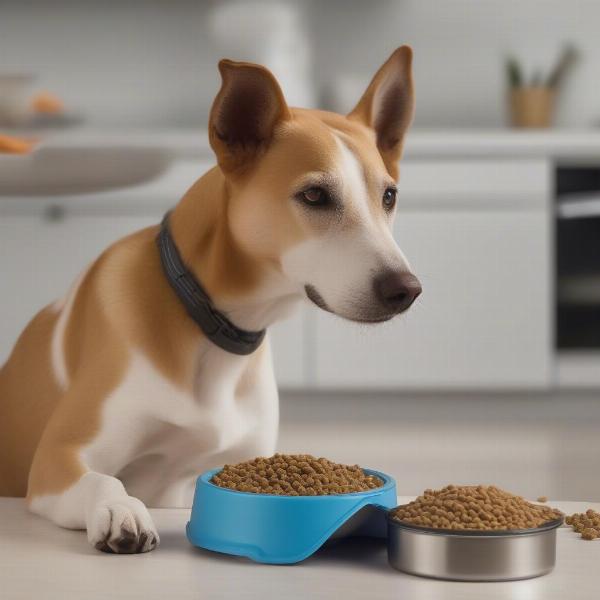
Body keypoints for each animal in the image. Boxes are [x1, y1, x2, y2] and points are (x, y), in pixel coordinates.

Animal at [0, 47, 422, 552]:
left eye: (389, 196)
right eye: (315, 195)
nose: (406, 289)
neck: (210, 326)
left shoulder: (231, 462)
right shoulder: (57, 458)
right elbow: (103, 478)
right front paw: (121, 509)